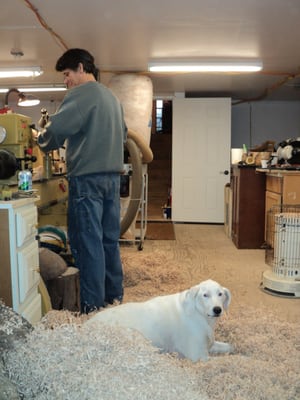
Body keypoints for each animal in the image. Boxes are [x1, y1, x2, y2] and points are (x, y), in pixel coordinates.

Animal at [85, 278, 233, 362]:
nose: (217, 309)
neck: (199, 314)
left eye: (220, 294)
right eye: (205, 295)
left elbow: (230, 346)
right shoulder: (198, 355)